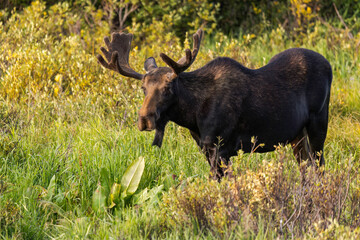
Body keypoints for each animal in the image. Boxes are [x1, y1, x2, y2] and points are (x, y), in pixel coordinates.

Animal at [97, 29, 334, 179]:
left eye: (168, 87)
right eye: (143, 88)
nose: (144, 119)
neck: (193, 116)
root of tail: (329, 64)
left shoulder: (221, 148)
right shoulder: (204, 148)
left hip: (319, 124)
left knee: (320, 166)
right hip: (297, 135)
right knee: (306, 168)